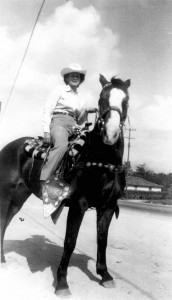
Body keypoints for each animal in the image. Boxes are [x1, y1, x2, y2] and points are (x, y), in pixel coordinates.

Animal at [0, 74, 130, 296]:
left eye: (126, 101)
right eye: (101, 99)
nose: (111, 133)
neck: (102, 162)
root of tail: (9, 146)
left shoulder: (108, 206)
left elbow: (102, 240)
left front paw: (105, 275)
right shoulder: (79, 204)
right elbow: (70, 241)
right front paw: (61, 282)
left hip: (18, 198)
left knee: (6, 222)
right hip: (5, 194)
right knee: (1, 222)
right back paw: (1, 261)